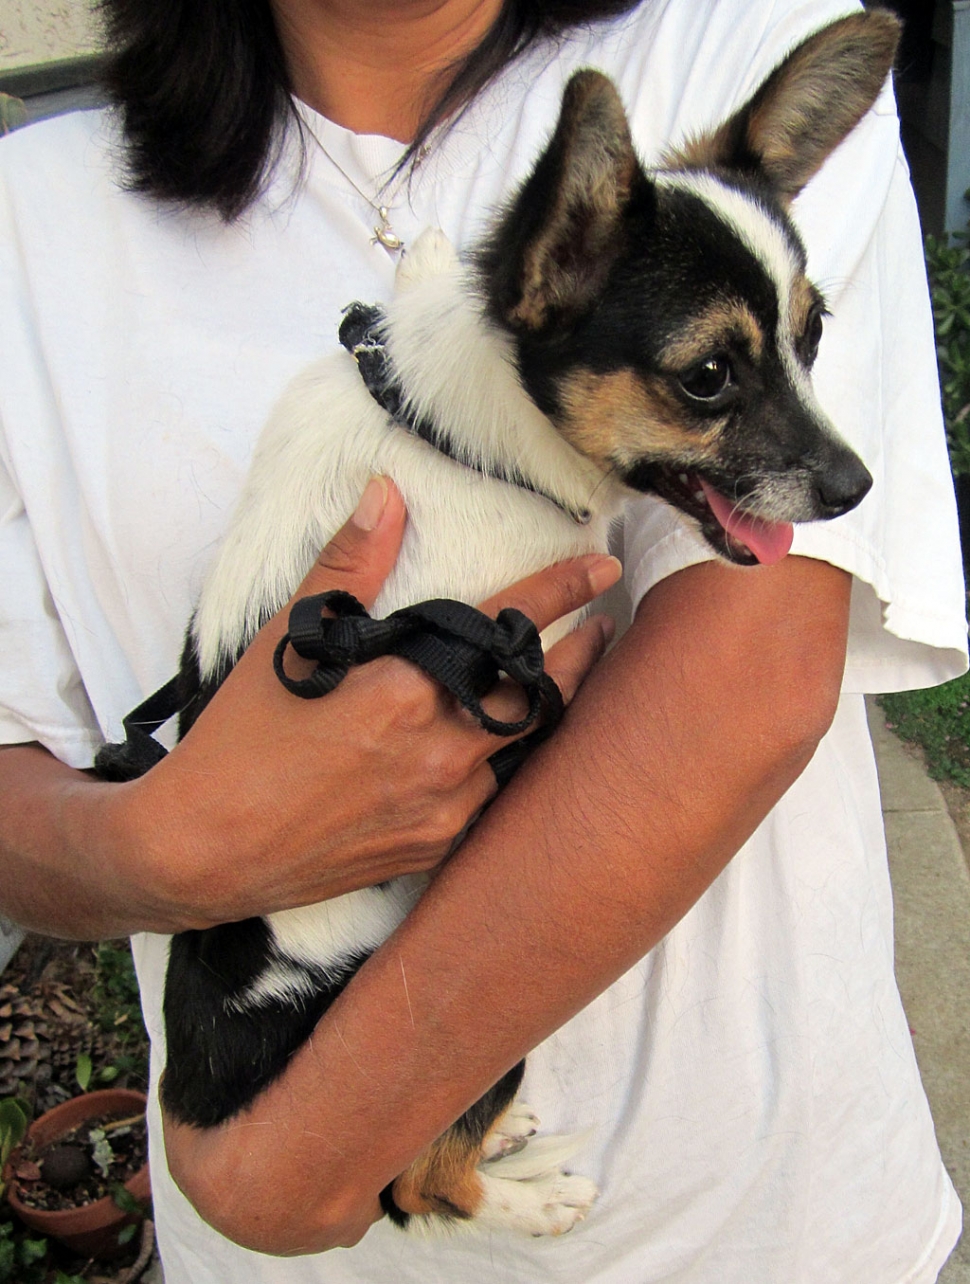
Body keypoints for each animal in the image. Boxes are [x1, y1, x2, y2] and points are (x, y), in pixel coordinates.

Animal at [147, 7, 899, 1232]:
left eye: (815, 335)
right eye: (706, 376)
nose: (854, 490)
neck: (461, 430)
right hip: (460, 1042)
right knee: (418, 1181)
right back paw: (524, 1197)